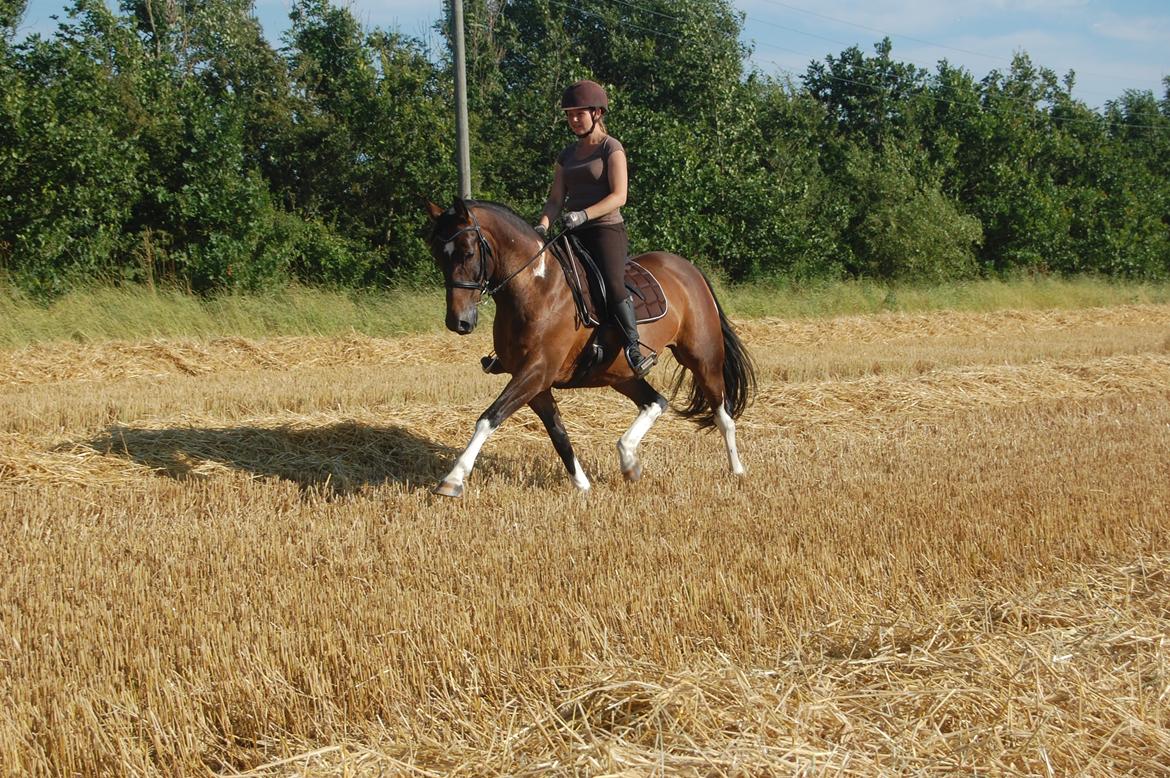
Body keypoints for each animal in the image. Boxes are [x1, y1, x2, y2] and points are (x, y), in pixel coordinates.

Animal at [425, 197, 753, 493]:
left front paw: (453, 479)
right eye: (438, 255)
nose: (458, 322)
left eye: (468, 253)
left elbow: (489, 418)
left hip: (702, 358)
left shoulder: (537, 371)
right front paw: (582, 486)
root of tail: (687, 269)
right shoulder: (535, 382)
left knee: (722, 415)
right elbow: (558, 433)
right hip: (619, 373)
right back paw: (629, 460)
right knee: (656, 401)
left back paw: (737, 470)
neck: (535, 287)